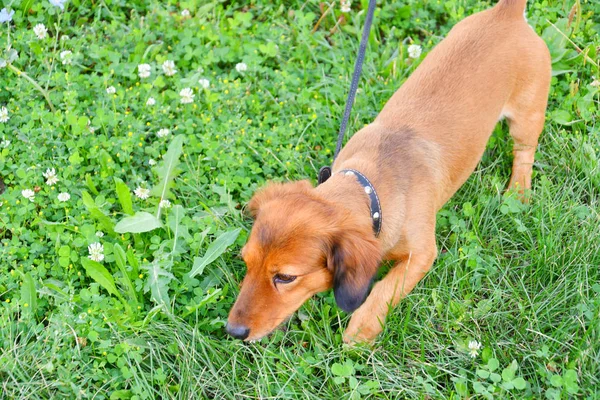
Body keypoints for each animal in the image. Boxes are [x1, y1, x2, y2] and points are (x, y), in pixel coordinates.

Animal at [225, 0, 548, 344]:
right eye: (246, 262)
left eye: (286, 277)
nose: (233, 331)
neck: (372, 188)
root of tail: (507, 13)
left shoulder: (421, 254)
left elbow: (386, 287)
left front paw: (362, 327)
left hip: (527, 116)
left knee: (524, 152)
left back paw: (519, 191)